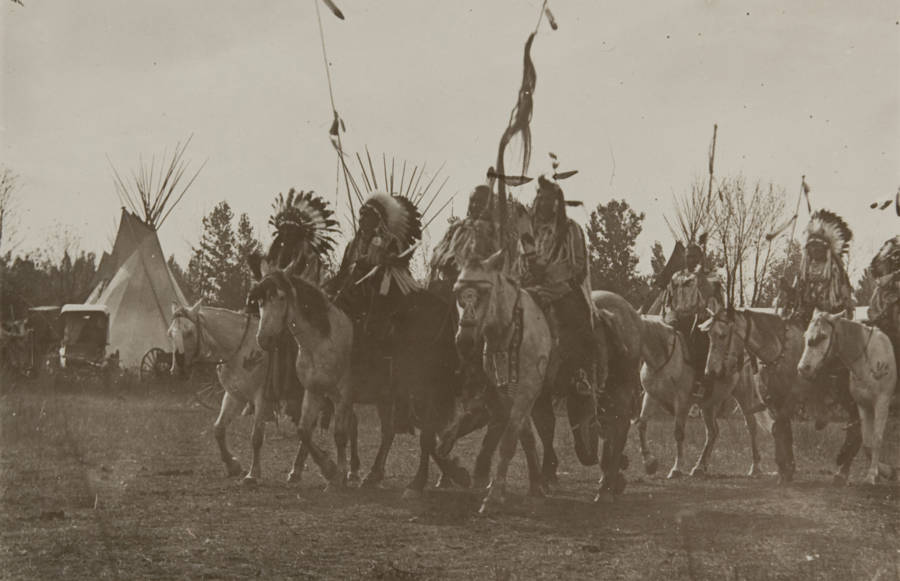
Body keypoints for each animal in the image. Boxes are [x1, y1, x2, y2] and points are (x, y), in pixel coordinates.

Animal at [250, 260, 358, 490]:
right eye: (260, 301)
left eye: (282, 297)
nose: (263, 339)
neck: (322, 341)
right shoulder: (314, 391)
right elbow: (303, 431)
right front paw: (329, 469)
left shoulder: (343, 394)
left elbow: (339, 435)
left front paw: (337, 475)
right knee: (354, 423)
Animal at [704, 310, 864, 482]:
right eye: (709, 335)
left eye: (722, 335)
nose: (710, 371)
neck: (779, 354)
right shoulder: (775, 402)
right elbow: (782, 431)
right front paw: (786, 469)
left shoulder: (790, 401)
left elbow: (778, 429)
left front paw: (785, 467)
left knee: (856, 429)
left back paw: (842, 470)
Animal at [800, 310, 896, 482]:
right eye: (806, 335)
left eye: (823, 336)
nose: (803, 368)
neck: (869, 359)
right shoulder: (863, 405)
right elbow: (866, 441)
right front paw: (884, 472)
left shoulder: (881, 403)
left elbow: (877, 439)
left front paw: (872, 475)